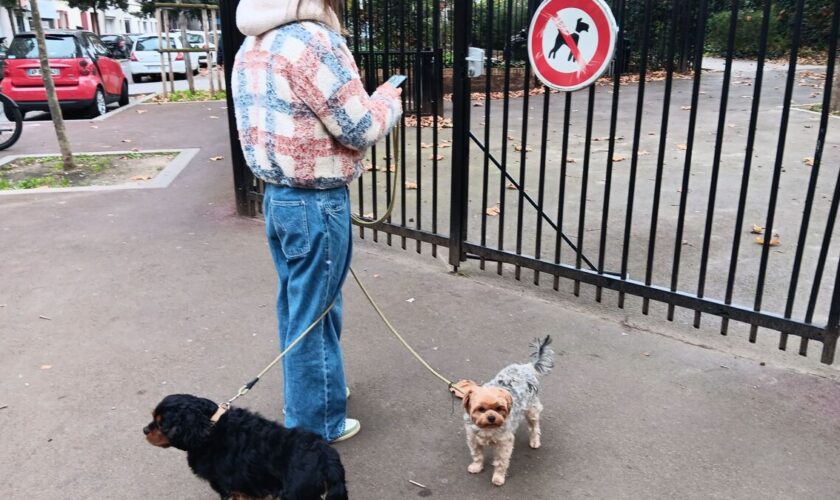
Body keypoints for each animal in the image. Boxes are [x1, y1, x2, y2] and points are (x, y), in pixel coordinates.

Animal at [144, 394, 348, 500]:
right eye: (154, 418)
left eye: (162, 425)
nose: (145, 429)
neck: (210, 429)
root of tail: (326, 456)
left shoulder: (229, 488)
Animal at [456, 336, 556, 484]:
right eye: (481, 409)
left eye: (499, 408)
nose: (492, 418)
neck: (488, 428)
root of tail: (526, 367)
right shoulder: (473, 438)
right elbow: (477, 454)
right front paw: (476, 466)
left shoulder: (504, 443)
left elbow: (501, 461)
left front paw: (498, 477)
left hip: (531, 409)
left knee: (534, 426)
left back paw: (534, 441)